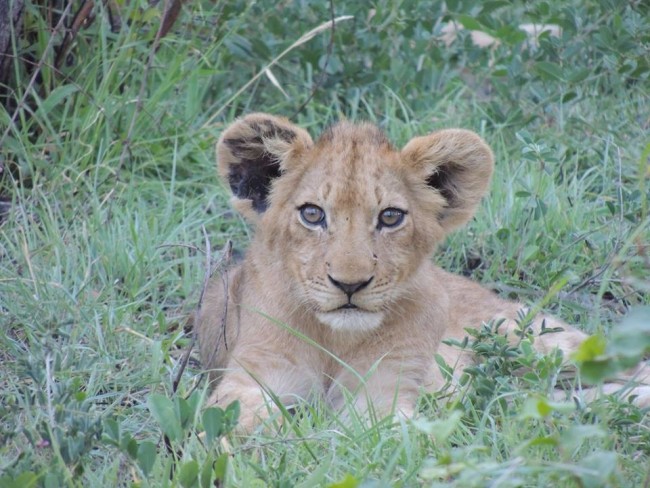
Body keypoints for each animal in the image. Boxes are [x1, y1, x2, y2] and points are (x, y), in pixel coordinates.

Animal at [196, 113, 649, 432]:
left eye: (390, 217)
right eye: (312, 214)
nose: (349, 284)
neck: (336, 338)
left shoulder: (389, 387)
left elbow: (371, 428)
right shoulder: (251, 378)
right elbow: (235, 422)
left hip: (534, 341)